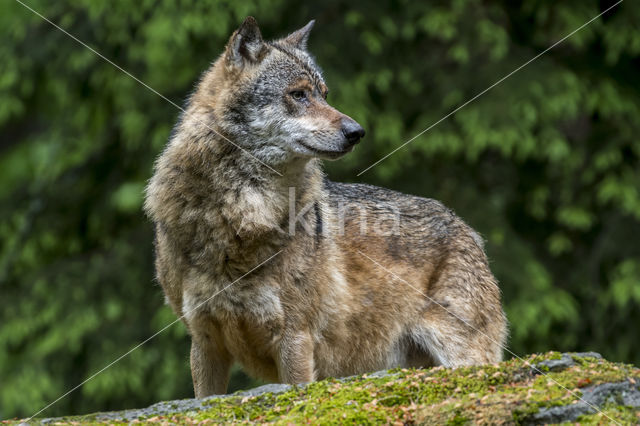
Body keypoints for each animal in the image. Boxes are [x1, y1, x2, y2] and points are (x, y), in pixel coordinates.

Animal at [144, 15, 504, 396]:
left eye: (325, 95)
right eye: (298, 94)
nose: (357, 131)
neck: (238, 216)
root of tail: (467, 229)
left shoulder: (295, 340)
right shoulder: (204, 342)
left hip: (464, 357)